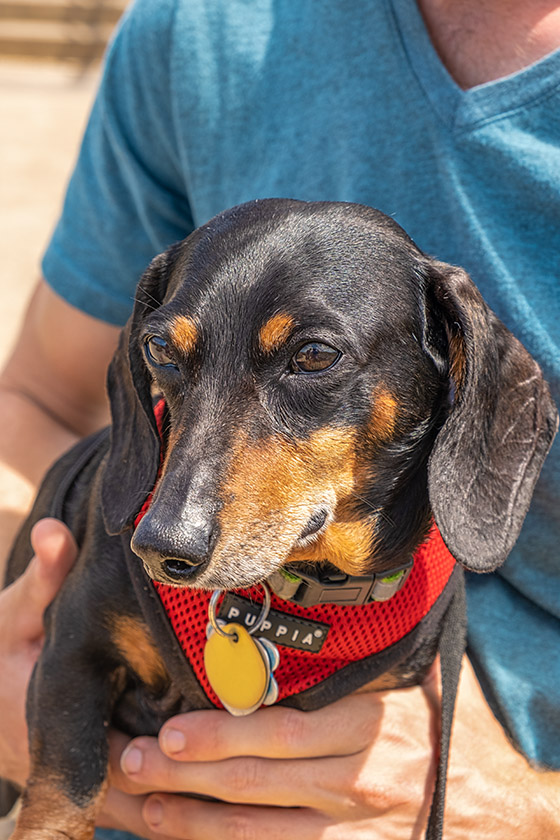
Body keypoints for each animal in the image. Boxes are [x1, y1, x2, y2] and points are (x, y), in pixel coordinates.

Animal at [5, 202, 560, 840]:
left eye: (314, 355)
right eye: (158, 348)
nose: (160, 546)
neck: (295, 592)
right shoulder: (72, 651)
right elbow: (65, 794)